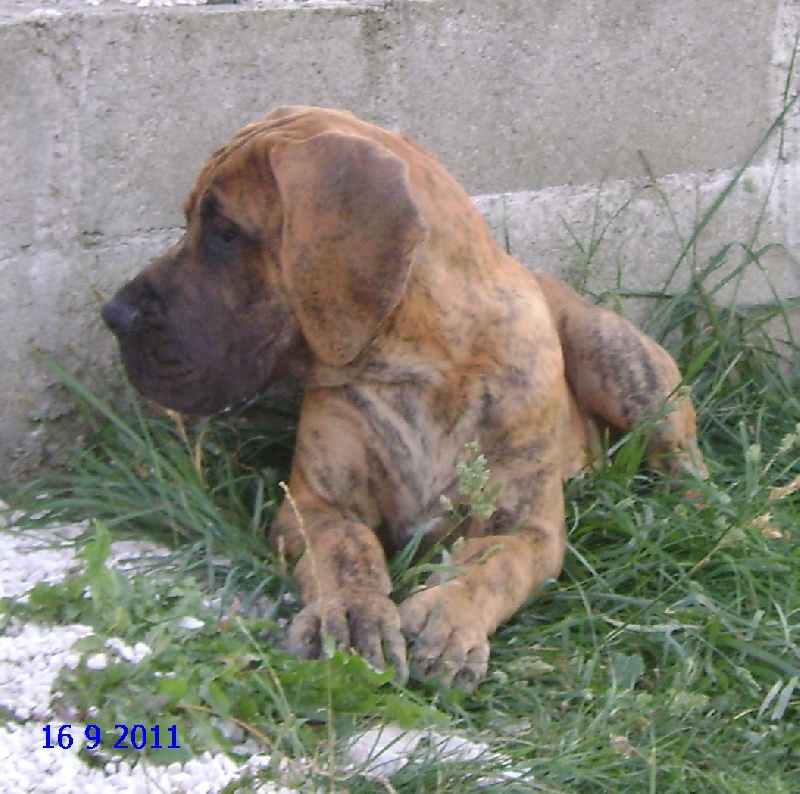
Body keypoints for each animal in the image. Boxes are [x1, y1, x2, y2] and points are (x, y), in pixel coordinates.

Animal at [101, 105, 708, 688]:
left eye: (226, 231)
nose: (114, 314)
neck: (420, 369)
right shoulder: (315, 505)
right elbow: (346, 549)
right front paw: (351, 613)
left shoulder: (528, 527)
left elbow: (490, 564)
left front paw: (451, 614)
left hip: (612, 357)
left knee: (685, 457)